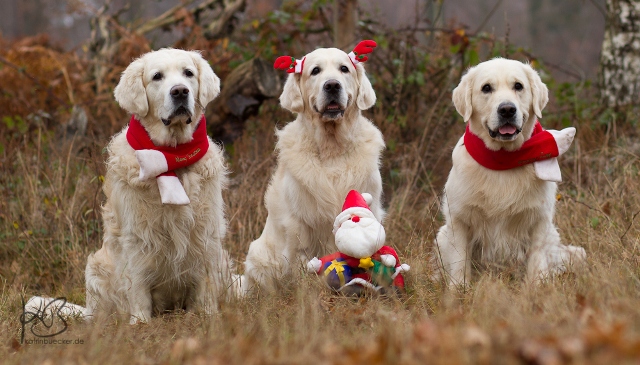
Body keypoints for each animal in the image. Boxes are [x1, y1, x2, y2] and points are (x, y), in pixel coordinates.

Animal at [84, 47, 235, 322]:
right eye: (157, 77)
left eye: (188, 73)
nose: (180, 91)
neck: (172, 153)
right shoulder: (137, 236)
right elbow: (138, 284)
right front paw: (140, 322)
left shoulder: (205, 232)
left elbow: (205, 280)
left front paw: (208, 314)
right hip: (96, 267)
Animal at [241, 39, 384, 292]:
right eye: (315, 71)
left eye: (344, 69)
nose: (332, 85)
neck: (331, 148)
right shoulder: (299, 223)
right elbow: (302, 261)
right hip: (258, 255)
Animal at [436, 57, 584, 284]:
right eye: (486, 88)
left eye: (518, 86)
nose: (507, 109)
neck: (503, 159)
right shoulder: (460, 218)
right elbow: (461, 260)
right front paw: (459, 288)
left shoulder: (539, 219)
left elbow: (536, 260)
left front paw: (536, 286)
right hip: (442, 235)